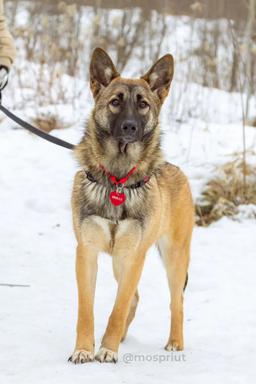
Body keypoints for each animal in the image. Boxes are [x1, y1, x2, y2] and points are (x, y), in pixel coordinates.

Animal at [68, 48, 194, 364]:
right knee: (135, 299)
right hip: (118, 261)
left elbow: (119, 307)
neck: (117, 179)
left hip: (173, 258)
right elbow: (86, 310)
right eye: (115, 102)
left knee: (176, 301)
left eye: (143, 105)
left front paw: (108, 350)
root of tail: (177, 171)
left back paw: (174, 342)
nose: (130, 127)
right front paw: (84, 349)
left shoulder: (134, 256)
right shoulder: (86, 253)